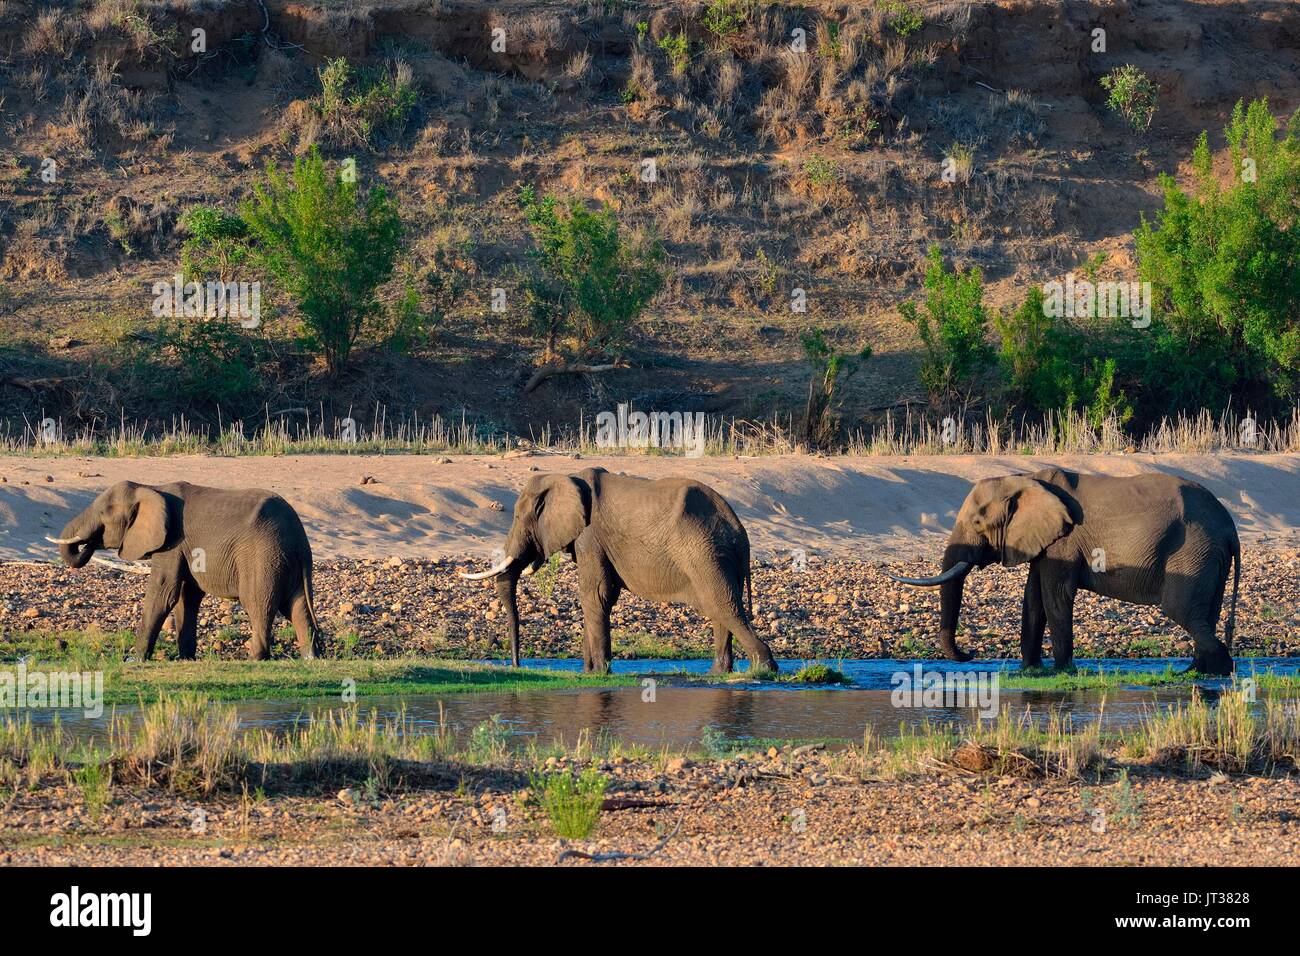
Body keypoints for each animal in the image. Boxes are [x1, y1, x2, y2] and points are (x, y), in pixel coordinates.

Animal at [50, 481, 319, 660]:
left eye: (103, 514)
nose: (89, 543)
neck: (149, 487)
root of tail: (299, 536)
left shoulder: (171, 543)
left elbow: (163, 594)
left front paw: (134, 660)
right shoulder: (182, 548)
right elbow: (186, 597)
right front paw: (186, 658)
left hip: (262, 557)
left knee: (258, 605)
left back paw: (256, 659)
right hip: (284, 560)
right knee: (297, 607)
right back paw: (311, 658)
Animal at [460, 468, 774, 676]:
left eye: (516, 517)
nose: (516, 664)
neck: (564, 477)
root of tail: (739, 530)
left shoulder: (590, 536)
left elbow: (595, 596)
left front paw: (599, 673)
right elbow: (602, 598)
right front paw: (588, 672)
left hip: (703, 552)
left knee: (724, 605)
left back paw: (763, 670)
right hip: (716, 554)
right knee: (721, 608)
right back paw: (718, 674)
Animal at [889, 468, 1242, 676]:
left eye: (977, 523)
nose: (970, 653)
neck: (1026, 479)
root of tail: (1230, 528)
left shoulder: (1064, 540)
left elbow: (1054, 595)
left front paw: (1060, 671)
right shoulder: (1043, 541)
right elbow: (1033, 598)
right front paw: (1030, 671)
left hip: (1193, 548)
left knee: (1180, 609)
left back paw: (1218, 671)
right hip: (1208, 556)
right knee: (1204, 613)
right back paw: (1198, 672)